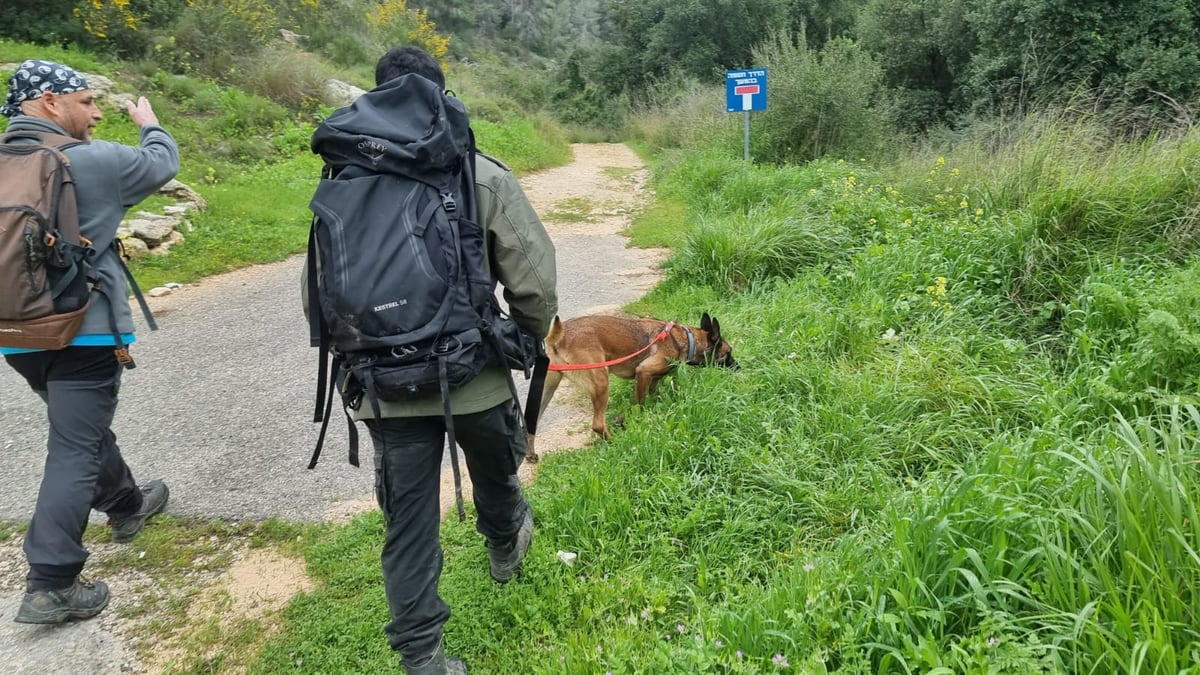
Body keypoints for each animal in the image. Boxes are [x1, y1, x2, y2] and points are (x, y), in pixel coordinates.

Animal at [528, 312, 734, 458]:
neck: (686, 339)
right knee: (598, 425)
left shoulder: (653, 379)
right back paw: (614, 442)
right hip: (601, 382)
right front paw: (628, 419)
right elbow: (640, 405)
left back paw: (531, 453)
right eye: (728, 353)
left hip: (546, 390)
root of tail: (558, 337)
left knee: (532, 422)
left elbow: (654, 395)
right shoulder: (643, 372)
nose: (738, 367)